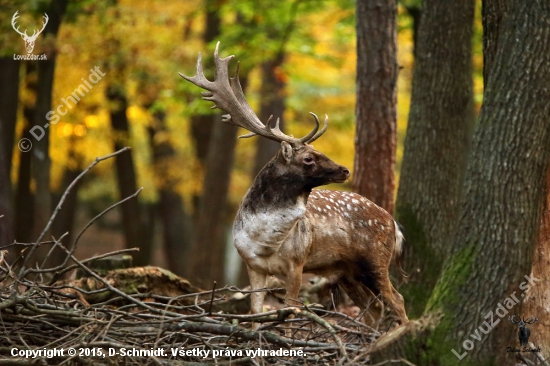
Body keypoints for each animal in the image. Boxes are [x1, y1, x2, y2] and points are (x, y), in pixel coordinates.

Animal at [181, 43, 410, 328]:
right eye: (308, 157)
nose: (345, 169)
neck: (264, 242)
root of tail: (393, 222)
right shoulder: (251, 265)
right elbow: (256, 311)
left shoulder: (297, 263)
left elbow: (291, 310)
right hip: (347, 270)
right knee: (375, 307)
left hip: (375, 259)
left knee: (396, 300)